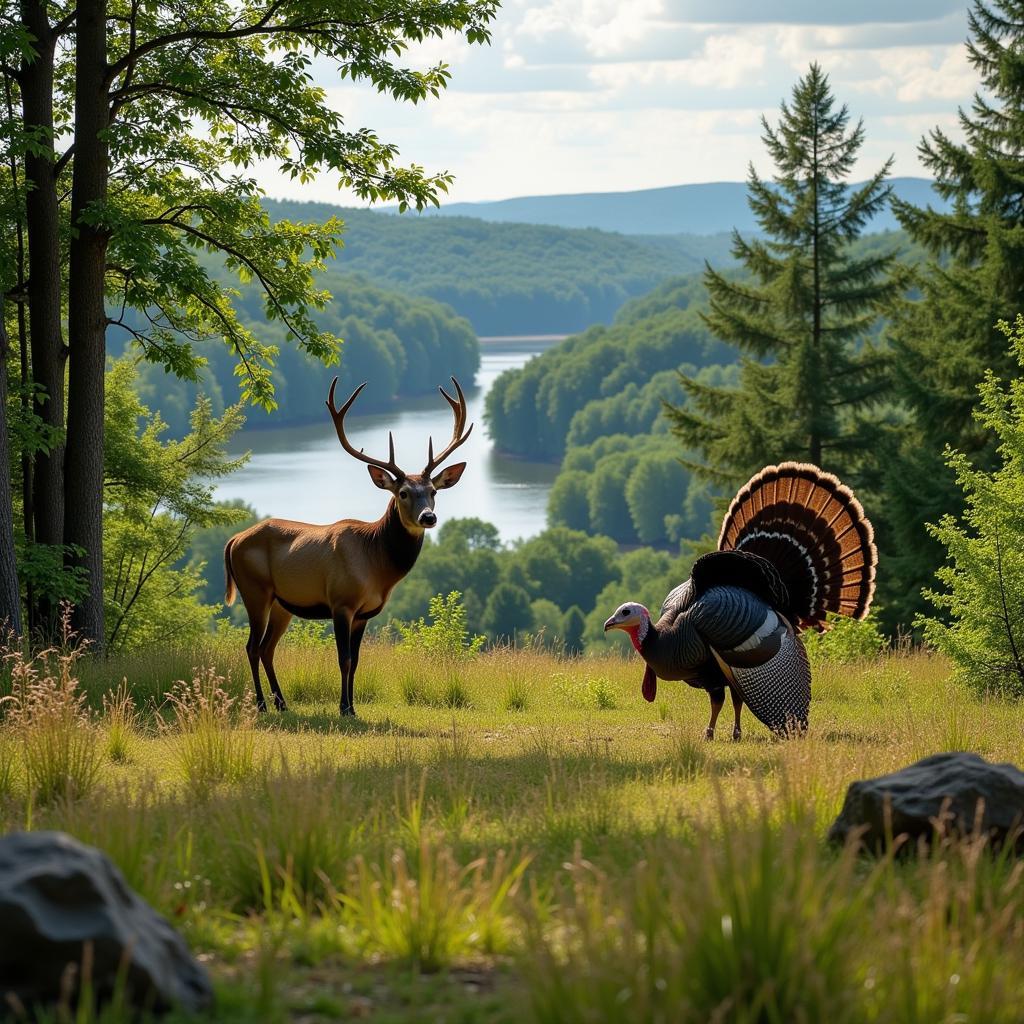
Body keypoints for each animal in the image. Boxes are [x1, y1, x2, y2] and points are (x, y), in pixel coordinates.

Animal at [224, 376, 471, 720]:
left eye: (433, 491)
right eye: (404, 493)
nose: (428, 517)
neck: (376, 567)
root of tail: (233, 541)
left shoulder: (365, 613)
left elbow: (356, 662)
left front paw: (353, 707)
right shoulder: (341, 602)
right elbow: (344, 659)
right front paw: (343, 708)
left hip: (281, 603)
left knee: (266, 648)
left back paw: (282, 703)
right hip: (254, 590)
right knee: (250, 646)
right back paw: (261, 704)